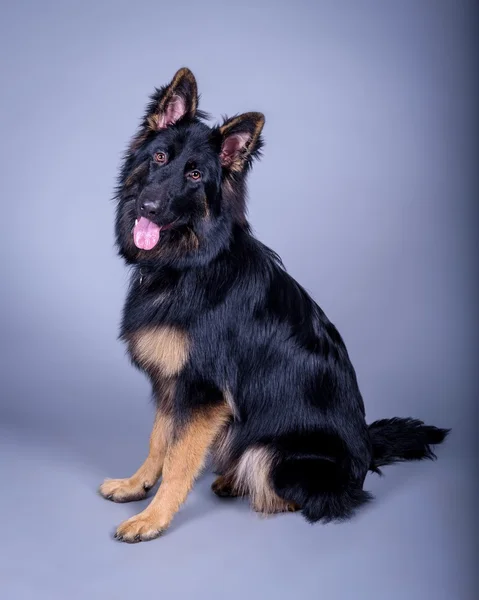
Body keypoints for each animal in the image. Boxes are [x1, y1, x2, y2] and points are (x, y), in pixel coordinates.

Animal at [99, 68, 452, 540]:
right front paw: (136, 485)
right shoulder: (172, 383)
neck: (191, 264)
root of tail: (366, 450)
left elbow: (178, 460)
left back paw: (242, 482)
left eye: (195, 176)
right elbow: (159, 440)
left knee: (316, 493)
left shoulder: (202, 392)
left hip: (278, 454)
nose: (149, 206)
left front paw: (153, 518)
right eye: (158, 158)